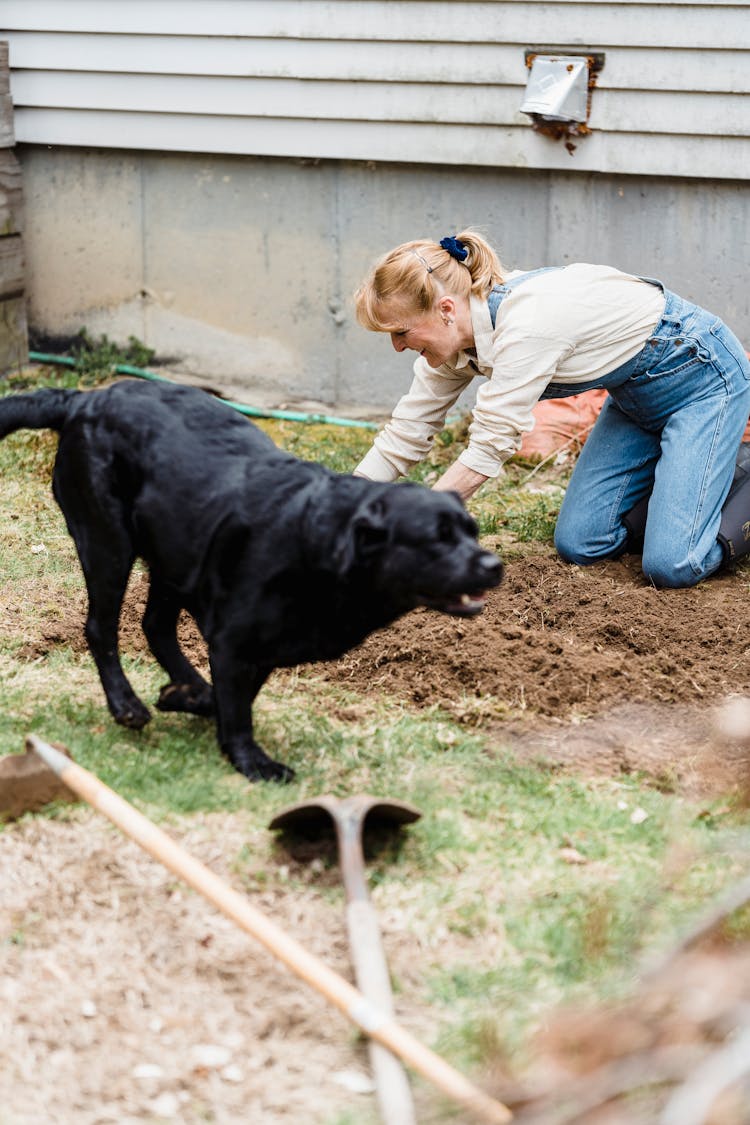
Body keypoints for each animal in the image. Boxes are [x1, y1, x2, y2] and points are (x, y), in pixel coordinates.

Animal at [2, 382, 503, 778]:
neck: (316, 543)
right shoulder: (234, 641)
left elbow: (232, 700)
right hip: (108, 542)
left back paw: (185, 687)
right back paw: (126, 705)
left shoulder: (256, 647)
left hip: (175, 551)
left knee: (156, 627)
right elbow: (238, 710)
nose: (493, 565)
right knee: (101, 628)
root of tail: (85, 398)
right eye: (437, 538)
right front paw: (253, 762)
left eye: (472, 530)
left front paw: (189, 700)